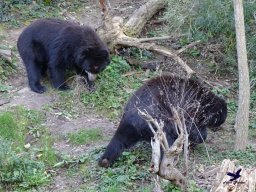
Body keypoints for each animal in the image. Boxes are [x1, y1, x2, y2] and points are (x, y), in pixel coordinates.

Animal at [99, 74, 227, 167]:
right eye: (219, 118)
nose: (220, 125)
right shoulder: (186, 106)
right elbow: (190, 127)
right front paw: (199, 138)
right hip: (157, 119)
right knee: (166, 139)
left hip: (129, 126)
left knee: (119, 140)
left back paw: (105, 160)